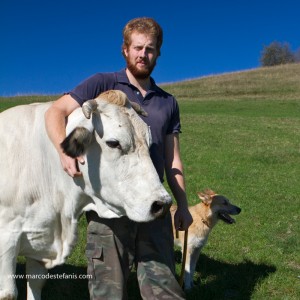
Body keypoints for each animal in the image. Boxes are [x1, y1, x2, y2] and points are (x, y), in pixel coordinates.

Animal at [0, 90, 171, 300]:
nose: (162, 204)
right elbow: (9, 293)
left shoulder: (41, 236)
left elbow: (36, 283)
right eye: (113, 143)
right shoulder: (7, 237)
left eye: (149, 142)